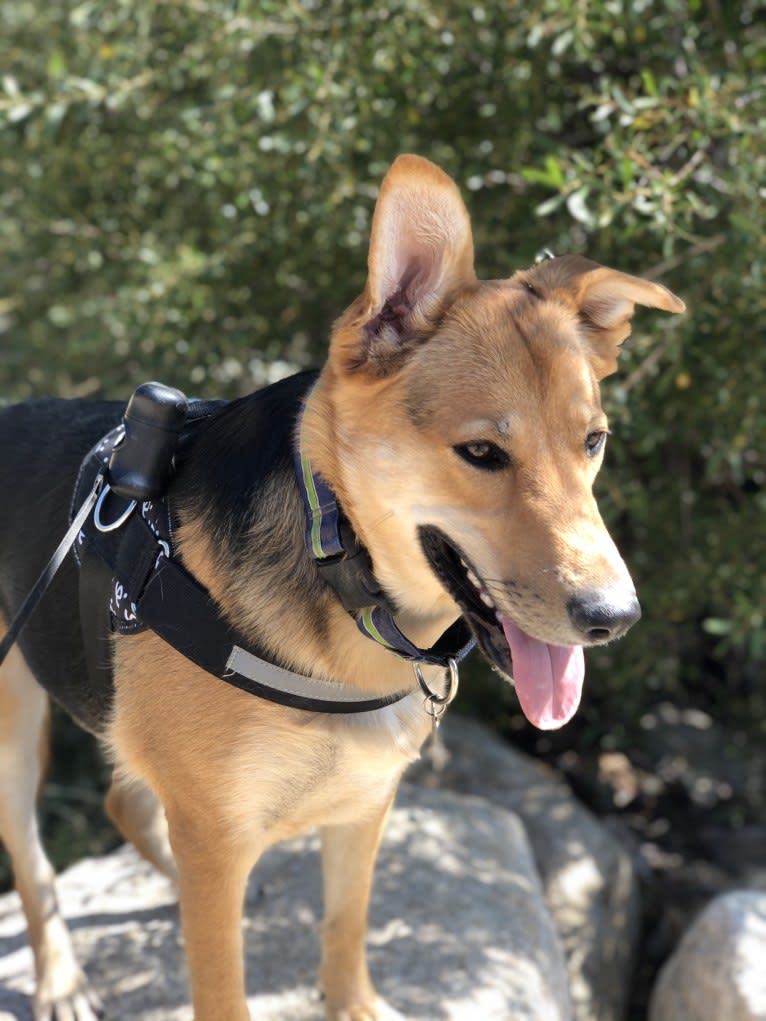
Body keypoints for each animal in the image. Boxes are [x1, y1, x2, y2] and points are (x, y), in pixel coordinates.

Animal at [0, 153, 686, 1021]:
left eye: (592, 442)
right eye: (481, 452)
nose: (614, 618)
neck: (343, 576)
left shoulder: (364, 804)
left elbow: (346, 925)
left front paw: (351, 999)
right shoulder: (217, 841)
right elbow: (223, 987)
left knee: (122, 801)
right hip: (12, 726)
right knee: (32, 856)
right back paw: (60, 978)